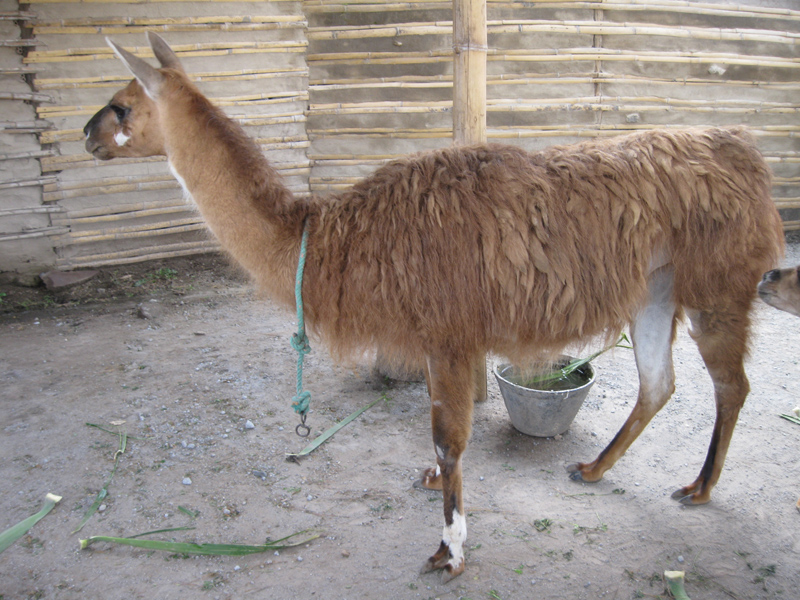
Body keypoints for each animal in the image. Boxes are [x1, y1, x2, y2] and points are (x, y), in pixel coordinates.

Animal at [84, 32, 784, 581]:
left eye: (121, 103)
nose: (87, 133)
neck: (324, 235)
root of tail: (743, 146)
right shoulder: (433, 338)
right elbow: (443, 436)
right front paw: (434, 491)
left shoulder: (450, 331)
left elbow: (449, 440)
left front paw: (450, 550)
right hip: (656, 286)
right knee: (659, 383)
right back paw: (592, 469)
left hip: (719, 282)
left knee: (732, 384)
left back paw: (698, 488)